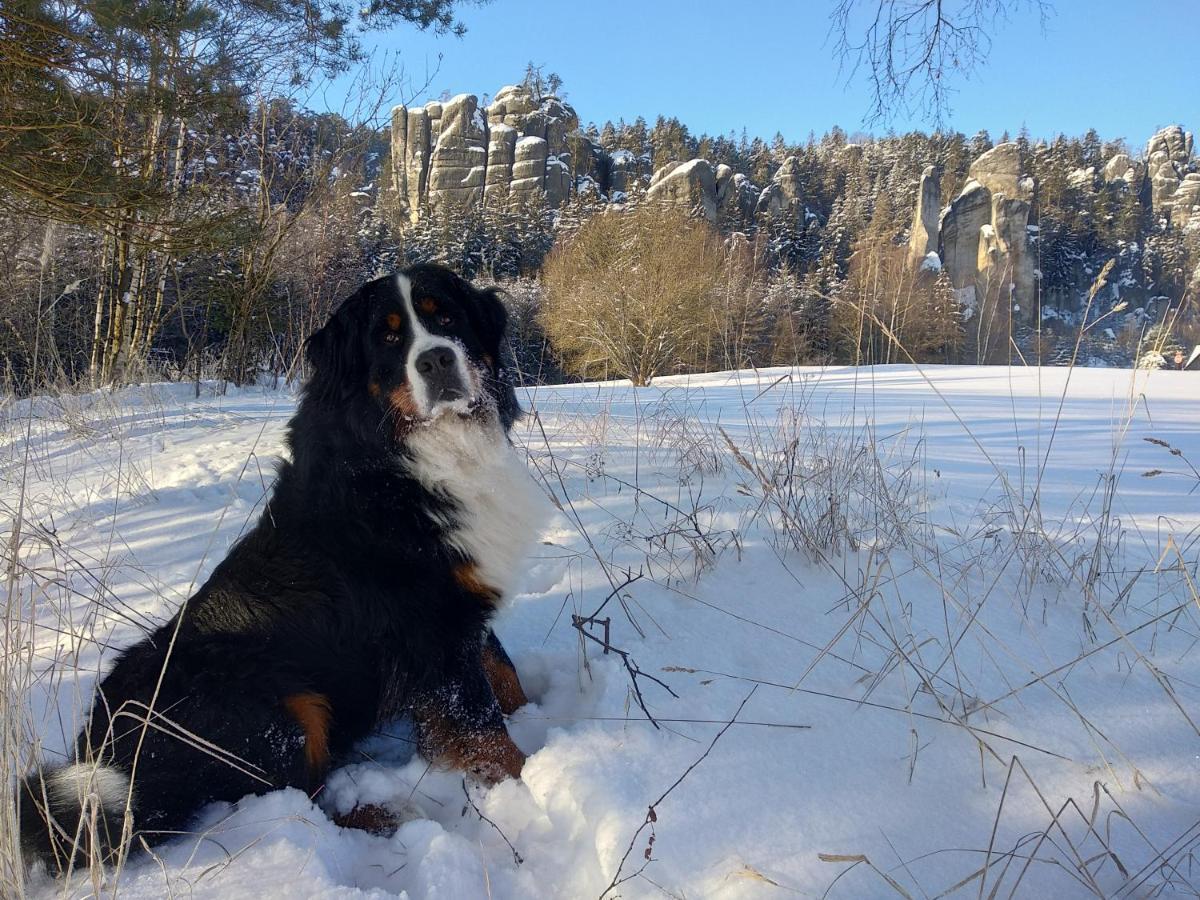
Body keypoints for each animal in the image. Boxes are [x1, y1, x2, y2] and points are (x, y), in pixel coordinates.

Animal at [16, 264, 549, 878]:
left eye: (447, 316)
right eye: (389, 339)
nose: (437, 360)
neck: (412, 454)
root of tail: (105, 757)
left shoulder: (463, 607)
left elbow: (503, 673)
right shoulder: (432, 628)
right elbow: (485, 729)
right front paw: (533, 793)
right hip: (285, 710)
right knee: (289, 802)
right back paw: (382, 816)